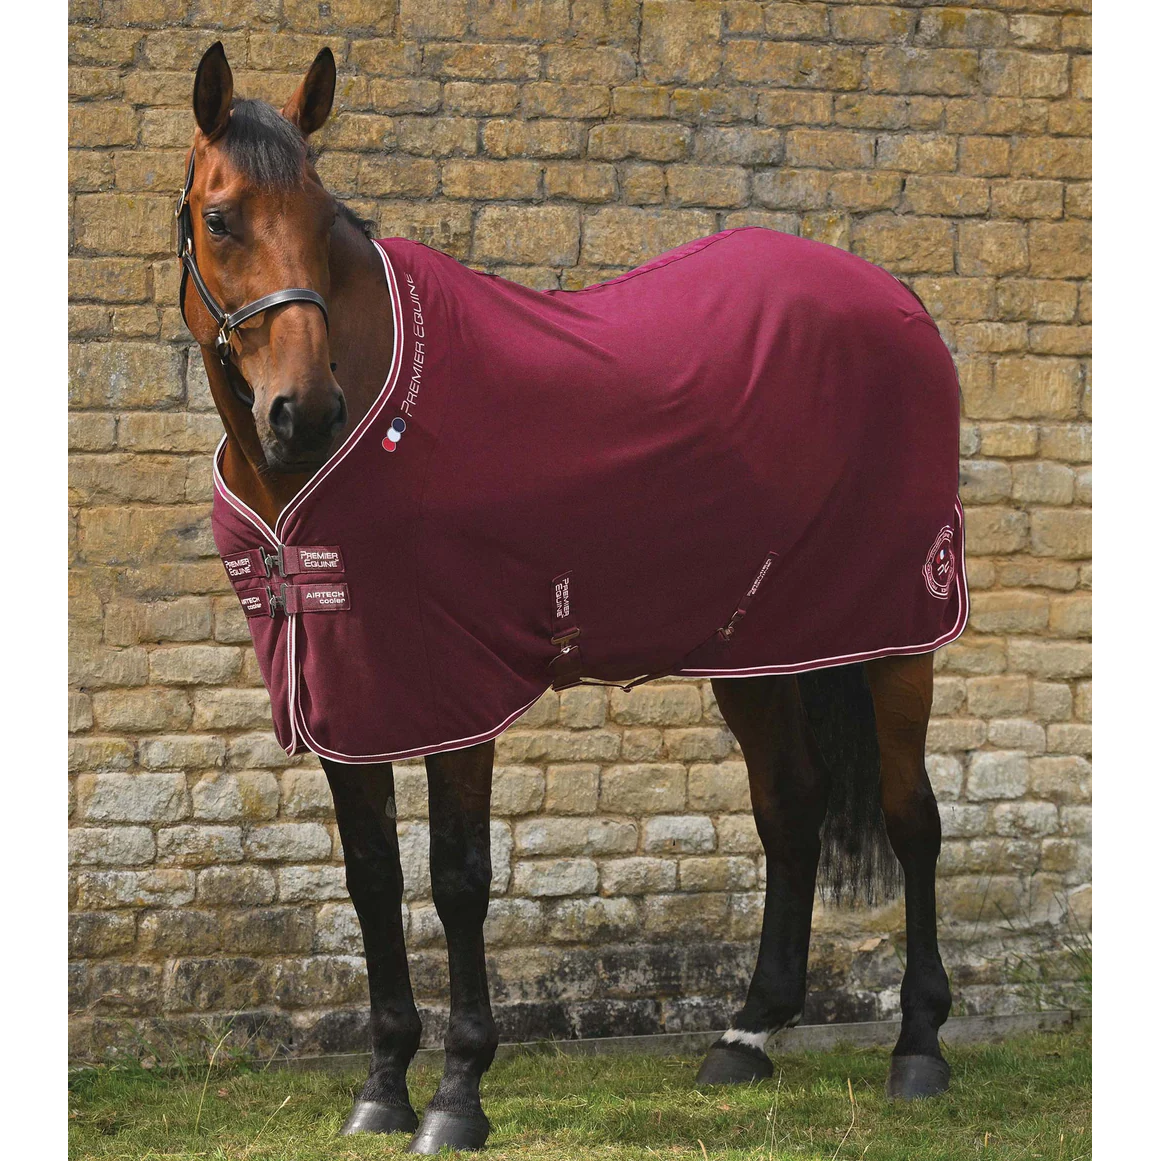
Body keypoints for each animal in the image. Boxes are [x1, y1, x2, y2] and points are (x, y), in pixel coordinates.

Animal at [178, 42, 960, 1154]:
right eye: (221, 217)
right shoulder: (348, 689)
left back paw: (919, 1049)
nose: (305, 412)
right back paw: (746, 1035)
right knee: (791, 807)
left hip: (901, 627)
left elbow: (458, 878)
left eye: (321, 212)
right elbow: (370, 874)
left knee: (910, 816)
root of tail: (896, 299)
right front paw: (381, 1088)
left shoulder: (452, 686)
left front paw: (458, 1096)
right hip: (756, 645)